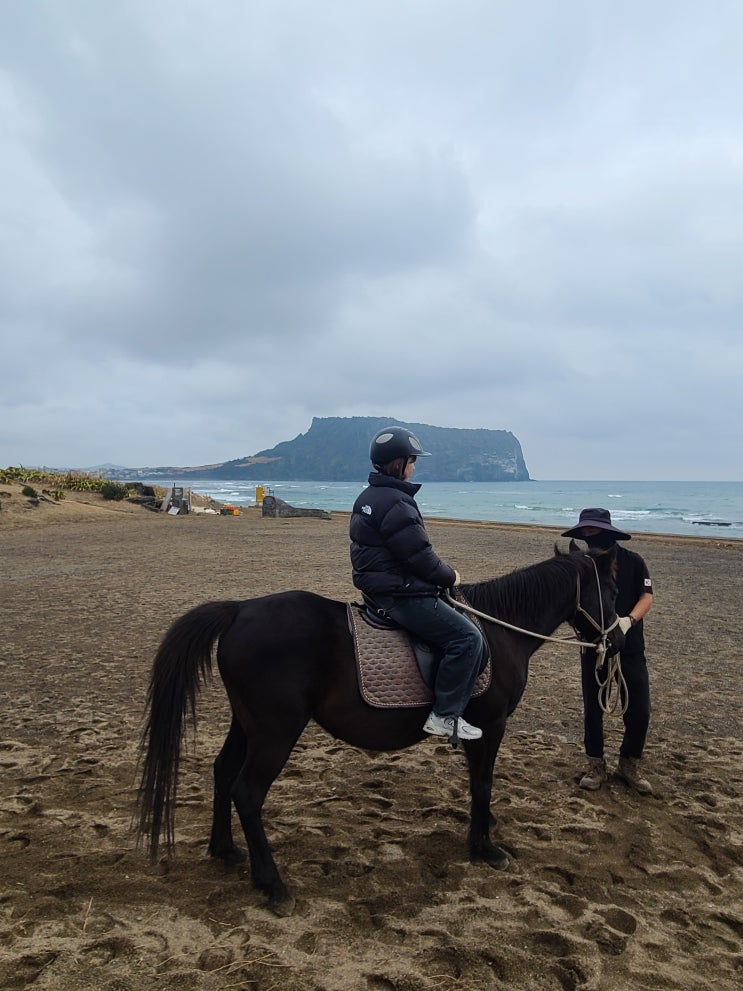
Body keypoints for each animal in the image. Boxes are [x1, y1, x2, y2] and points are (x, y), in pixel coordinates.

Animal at [137, 552, 620, 916]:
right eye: (612, 591)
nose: (617, 641)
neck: (500, 630)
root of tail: (239, 609)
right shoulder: (492, 724)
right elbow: (483, 784)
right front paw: (485, 847)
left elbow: (476, 785)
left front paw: (483, 832)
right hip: (275, 731)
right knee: (248, 791)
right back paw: (273, 885)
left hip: (247, 724)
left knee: (222, 773)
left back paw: (225, 850)